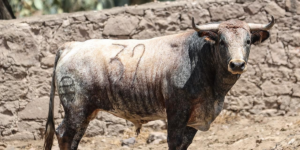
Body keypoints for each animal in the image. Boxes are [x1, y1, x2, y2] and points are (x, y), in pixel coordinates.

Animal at [44, 15, 274, 149]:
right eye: (222, 41)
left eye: (247, 41)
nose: (237, 64)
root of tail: (72, 45)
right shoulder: (176, 113)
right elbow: (174, 141)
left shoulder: (193, 120)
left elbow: (184, 144)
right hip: (76, 108)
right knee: (64, 134)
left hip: (86, 112)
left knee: (74, 138)